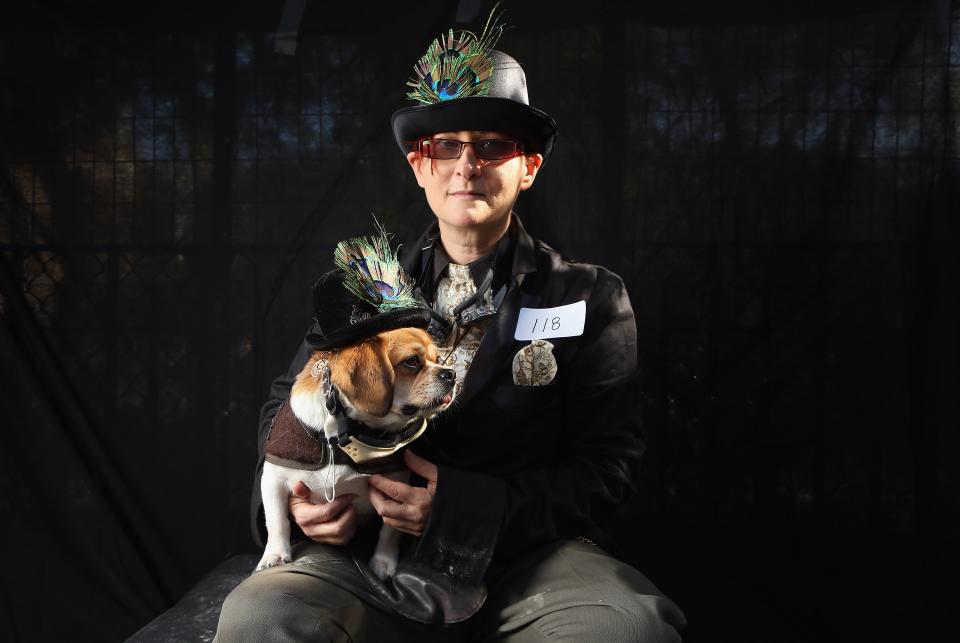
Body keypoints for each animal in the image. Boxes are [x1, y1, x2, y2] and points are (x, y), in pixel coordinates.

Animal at [256, 328, 456, 580]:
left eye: (438, 359)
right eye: (411, 361)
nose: (451, 374)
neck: (345, 432)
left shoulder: (397, 488)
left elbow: (390, 532)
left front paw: (383, 561)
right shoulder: (273, 480)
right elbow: (276, 521)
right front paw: (274, 555)